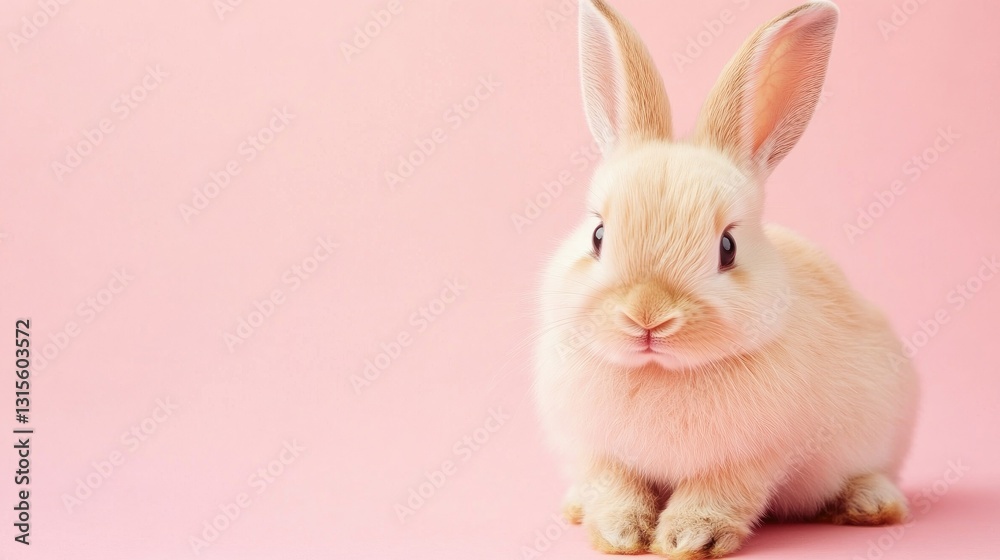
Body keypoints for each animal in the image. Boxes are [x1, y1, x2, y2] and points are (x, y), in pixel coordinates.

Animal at [532, 1, 919, 558]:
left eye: (727, 248)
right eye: (598, 235)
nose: (647, 315)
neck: (661, 373)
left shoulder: (752, 457)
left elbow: (716, 493)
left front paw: (688, 538)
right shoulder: (598, 453)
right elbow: (617, 488)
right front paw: (620, 533)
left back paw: (871, 504)